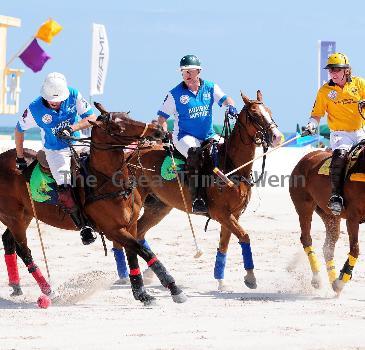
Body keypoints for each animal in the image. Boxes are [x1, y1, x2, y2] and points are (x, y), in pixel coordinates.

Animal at [0, 105, 186, 304]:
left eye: (128, 116)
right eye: (117, 127)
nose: (158, 130)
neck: (111, 182)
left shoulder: (130, 225)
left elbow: (134, 255)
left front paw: (141, 293)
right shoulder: (113, 229)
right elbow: (143, 251)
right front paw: (173, 287)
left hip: (24, 215)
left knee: (9, 240)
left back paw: (17, 287)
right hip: (15, 217)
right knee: (24, 251)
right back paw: (49, 291)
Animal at [111, 91, 282, 290]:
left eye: (270, 111)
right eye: (254, 114)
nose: (277, 136)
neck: (232, 166)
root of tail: (130, 154)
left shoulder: (234, 214)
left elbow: (224, 245)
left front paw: (222, 281)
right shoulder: (221, 213)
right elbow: (245, 236)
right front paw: (250, 278)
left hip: (158, 207)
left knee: (138, 234)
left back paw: (149, 273)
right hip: (134, 204)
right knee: (123, 236)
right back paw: (124, 275)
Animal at [290, 144, 364, 294]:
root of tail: (307, 156)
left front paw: (340, 279)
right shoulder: (352, 218)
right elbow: (355, 249)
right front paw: (342, 280)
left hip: (329, 215)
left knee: (328, 246)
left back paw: (333, 279)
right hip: (304, 206)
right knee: (306, 238)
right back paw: (318, 278)